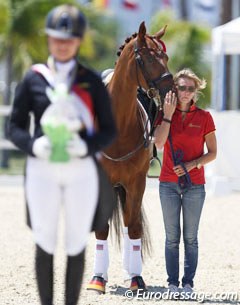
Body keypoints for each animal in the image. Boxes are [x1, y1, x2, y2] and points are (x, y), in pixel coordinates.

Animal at [87, 21, 173, 292]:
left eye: (166, 57)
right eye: (148, 58)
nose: (171, 90)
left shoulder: (137, 181)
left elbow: (133, 226)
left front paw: (136, 278)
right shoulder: (101, 183)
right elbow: (101, 229)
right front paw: (97, 280)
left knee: (127, 221)